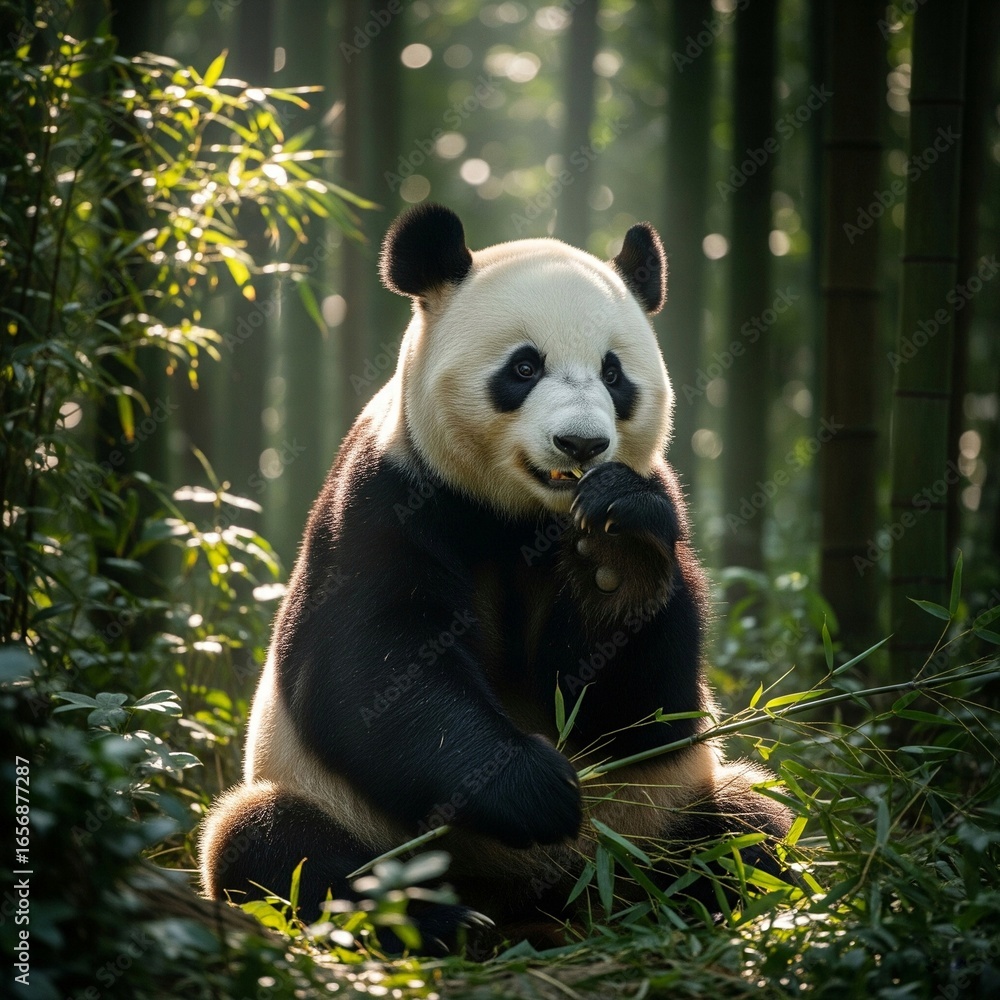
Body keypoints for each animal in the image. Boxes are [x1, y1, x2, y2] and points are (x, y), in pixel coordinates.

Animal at [200, 204, 791, 950]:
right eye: (525, 366)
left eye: (614, 374)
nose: (581, 444)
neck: (523, 517)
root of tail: (539, 898)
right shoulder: (385, 494)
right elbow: (368, 668)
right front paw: (534, 787)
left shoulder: (657, 501)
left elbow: (640, 710)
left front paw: (618, 558)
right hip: (340, 813)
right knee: (276, 848)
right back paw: (442, 920)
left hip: (655, 814)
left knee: (749, 829)